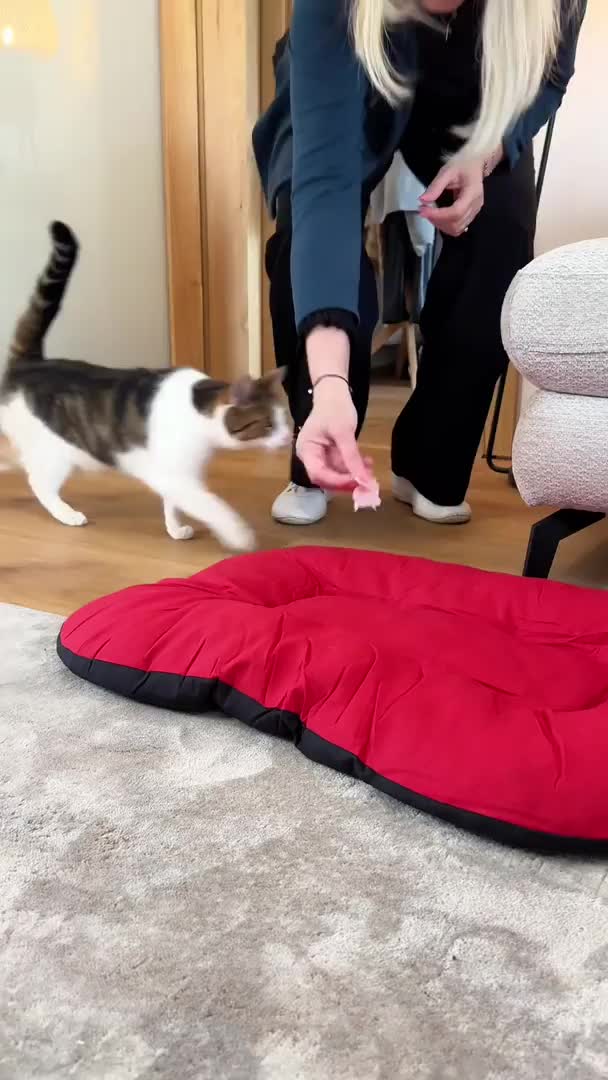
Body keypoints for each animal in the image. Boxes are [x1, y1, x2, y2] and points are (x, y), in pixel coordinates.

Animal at [0, 222, 291, 551]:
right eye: (267, 424)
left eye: (284, 418)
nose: (287, 438)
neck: (199, 410)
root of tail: (30, 363)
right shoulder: (176, 477)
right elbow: (213, 506)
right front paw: (238, 535)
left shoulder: (176, 474)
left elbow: (173, 506)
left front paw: (176, 530)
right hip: (56, 453)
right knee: (38, 483)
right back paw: (68, 514)